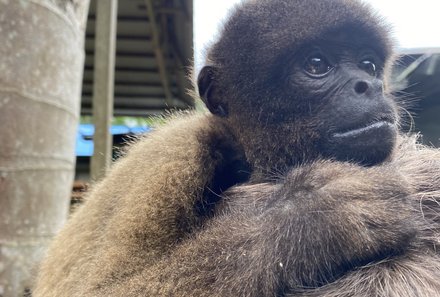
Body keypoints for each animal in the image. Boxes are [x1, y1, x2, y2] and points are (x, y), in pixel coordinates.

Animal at [32, 0, 440, 294]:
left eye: (368, 65)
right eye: (317, 64)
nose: (368, 85)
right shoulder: (170, 159)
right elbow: (100, 288)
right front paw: (314, 216)